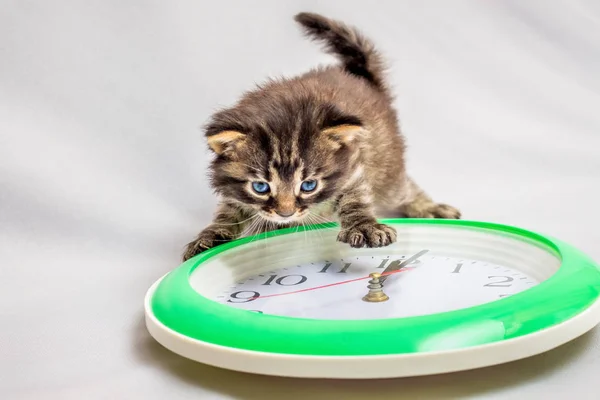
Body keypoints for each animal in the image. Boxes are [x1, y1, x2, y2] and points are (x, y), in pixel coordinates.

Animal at [183, 10, 460, 260]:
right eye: (260, 187)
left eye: (309, 185)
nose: (285, 214)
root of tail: (360, 78)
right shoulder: (232, 190)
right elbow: (228, 212)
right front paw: (210, 235)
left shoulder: (353, 166)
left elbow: (355, 199)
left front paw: (364, 226)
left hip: (387, 168)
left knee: (404, 188)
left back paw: (430, 207)